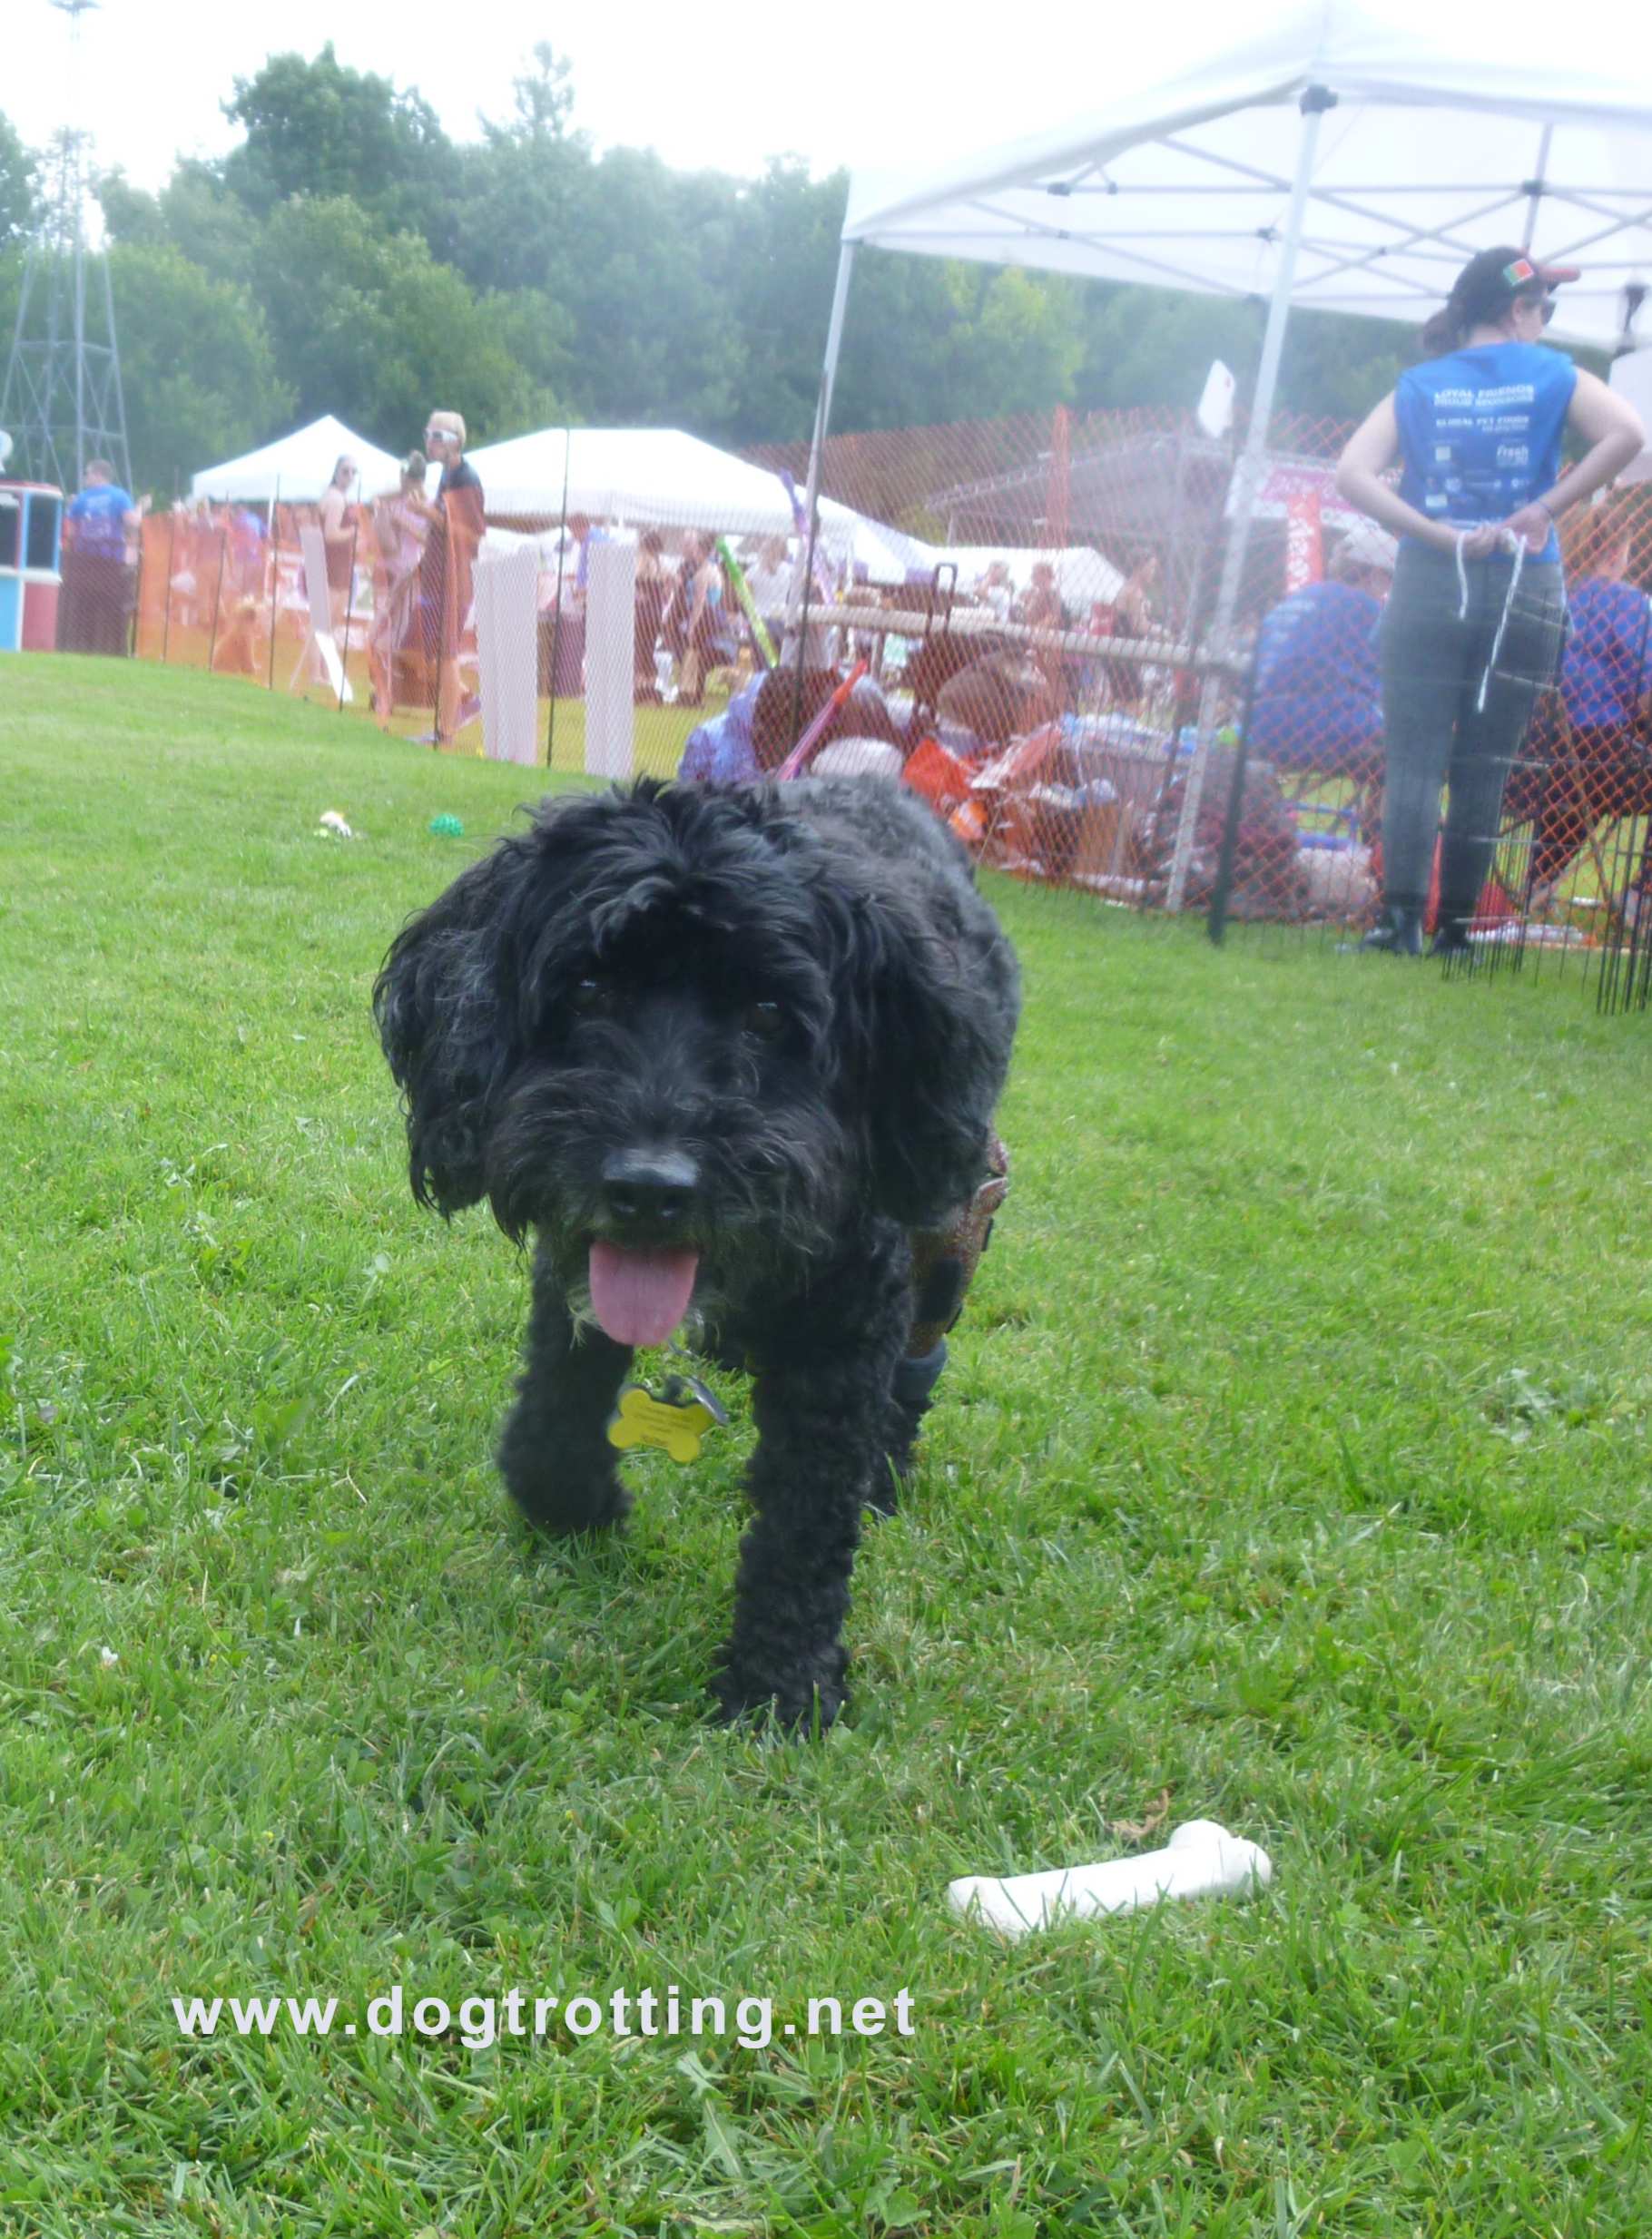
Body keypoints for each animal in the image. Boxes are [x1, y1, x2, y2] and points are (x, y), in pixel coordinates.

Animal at [374, 776, 1019, 1731]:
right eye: (588, 988)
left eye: (767, 1014)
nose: (650, 1186)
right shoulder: (573, 1284)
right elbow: (548, 1425)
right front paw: (584, 1509)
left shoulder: (848, 1331)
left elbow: (807, 1517)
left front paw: (783, 1682)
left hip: (948, 1240)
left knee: (917, 1370)